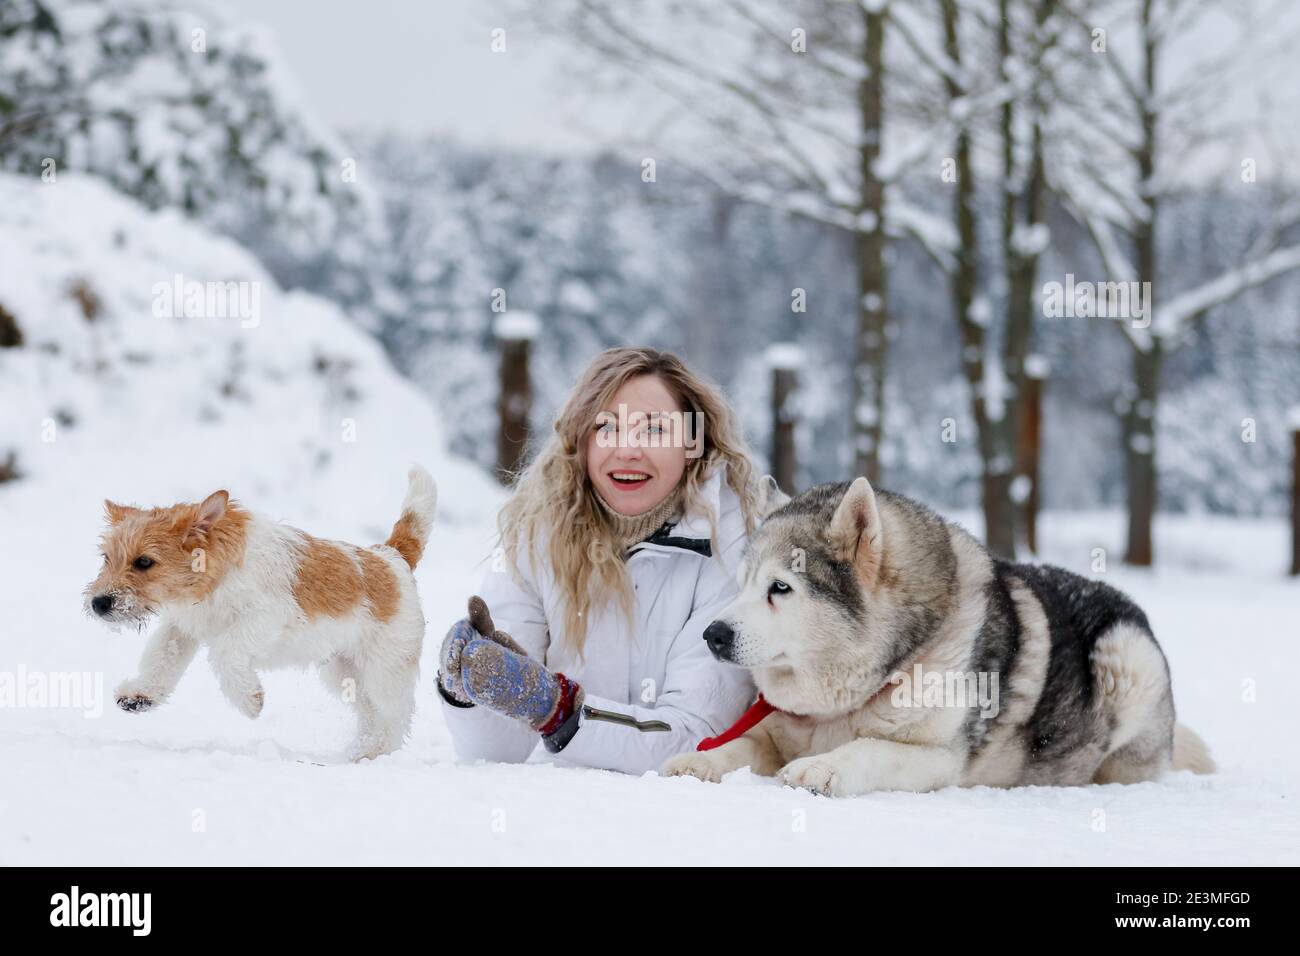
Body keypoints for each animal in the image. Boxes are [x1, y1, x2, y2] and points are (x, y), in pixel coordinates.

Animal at [665, 478, 1211, 801]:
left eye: (781, 587)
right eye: (741, 585)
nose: (712, 635)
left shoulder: (938, 759)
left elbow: (870, 748)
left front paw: (823, 768)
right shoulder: (774, 733)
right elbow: (741, 744)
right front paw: (700, 759)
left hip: (1126, 657)